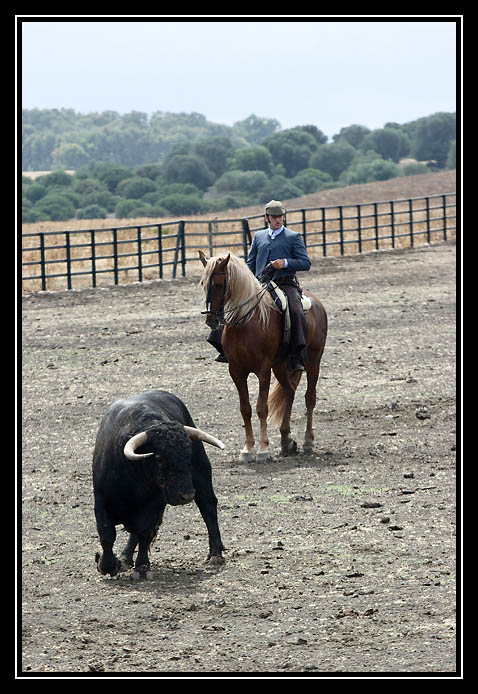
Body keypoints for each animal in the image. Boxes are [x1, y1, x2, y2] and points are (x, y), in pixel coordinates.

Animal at [199, 253, 328, 464]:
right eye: (203, 283)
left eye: (219, 284)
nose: (212, 320)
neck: (245, 323)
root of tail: (317, 302)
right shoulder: (236, 371)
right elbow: (245, 409)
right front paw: (247, 449)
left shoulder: (263, 370)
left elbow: (262, 408)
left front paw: (262, 449)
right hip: (281, 366)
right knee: (289, 391)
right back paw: (286, 439)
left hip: (313, 360)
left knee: (310, 397)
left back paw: (308, 441)